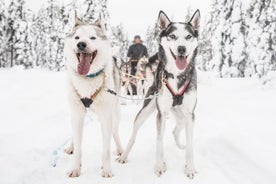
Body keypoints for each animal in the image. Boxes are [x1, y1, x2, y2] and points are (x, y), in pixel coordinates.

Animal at [64, 15, 123, 178]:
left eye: (92, 37)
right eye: (77, 37)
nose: (81, 44)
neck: (87, 80)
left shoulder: (106, 117)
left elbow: (106, 150)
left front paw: (107, 170)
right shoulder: (77, 115)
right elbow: (78, 147)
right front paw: (75, 168)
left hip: (115, 114)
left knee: (115, 132)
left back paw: (121, 150)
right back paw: (70, 147)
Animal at [117, 9, 201, 179]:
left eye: (188, 36)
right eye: (172, 36)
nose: (181, 48)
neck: (176, 76)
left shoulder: (190, 114)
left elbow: (190, 145)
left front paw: (189, 167)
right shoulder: (161, 114)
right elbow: (159, 141)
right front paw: (159, 165)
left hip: (182, 117)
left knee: (175, 130)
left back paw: (179, 145)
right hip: (145, 112)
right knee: (134, 136)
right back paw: (125, 155)